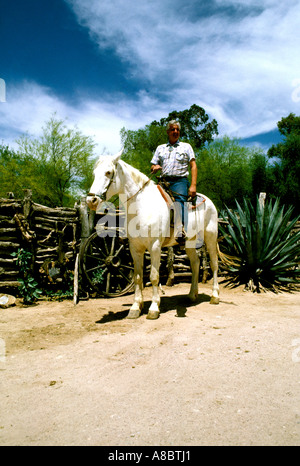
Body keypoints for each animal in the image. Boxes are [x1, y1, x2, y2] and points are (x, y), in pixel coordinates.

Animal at [85, 151, 219, 318]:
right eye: (94, 173)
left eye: (108, 172)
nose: (91, 200)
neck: (142, 206)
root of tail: (209, 201)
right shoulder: (135, 248)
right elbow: (137, 277)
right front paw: (135, 307)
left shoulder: (154, 246)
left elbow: (154, 277)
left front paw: (154, 308)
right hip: (190, 243)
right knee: (195, 263)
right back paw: (192, 295)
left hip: (211, 238)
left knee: (214, 264)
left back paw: (214, 296)